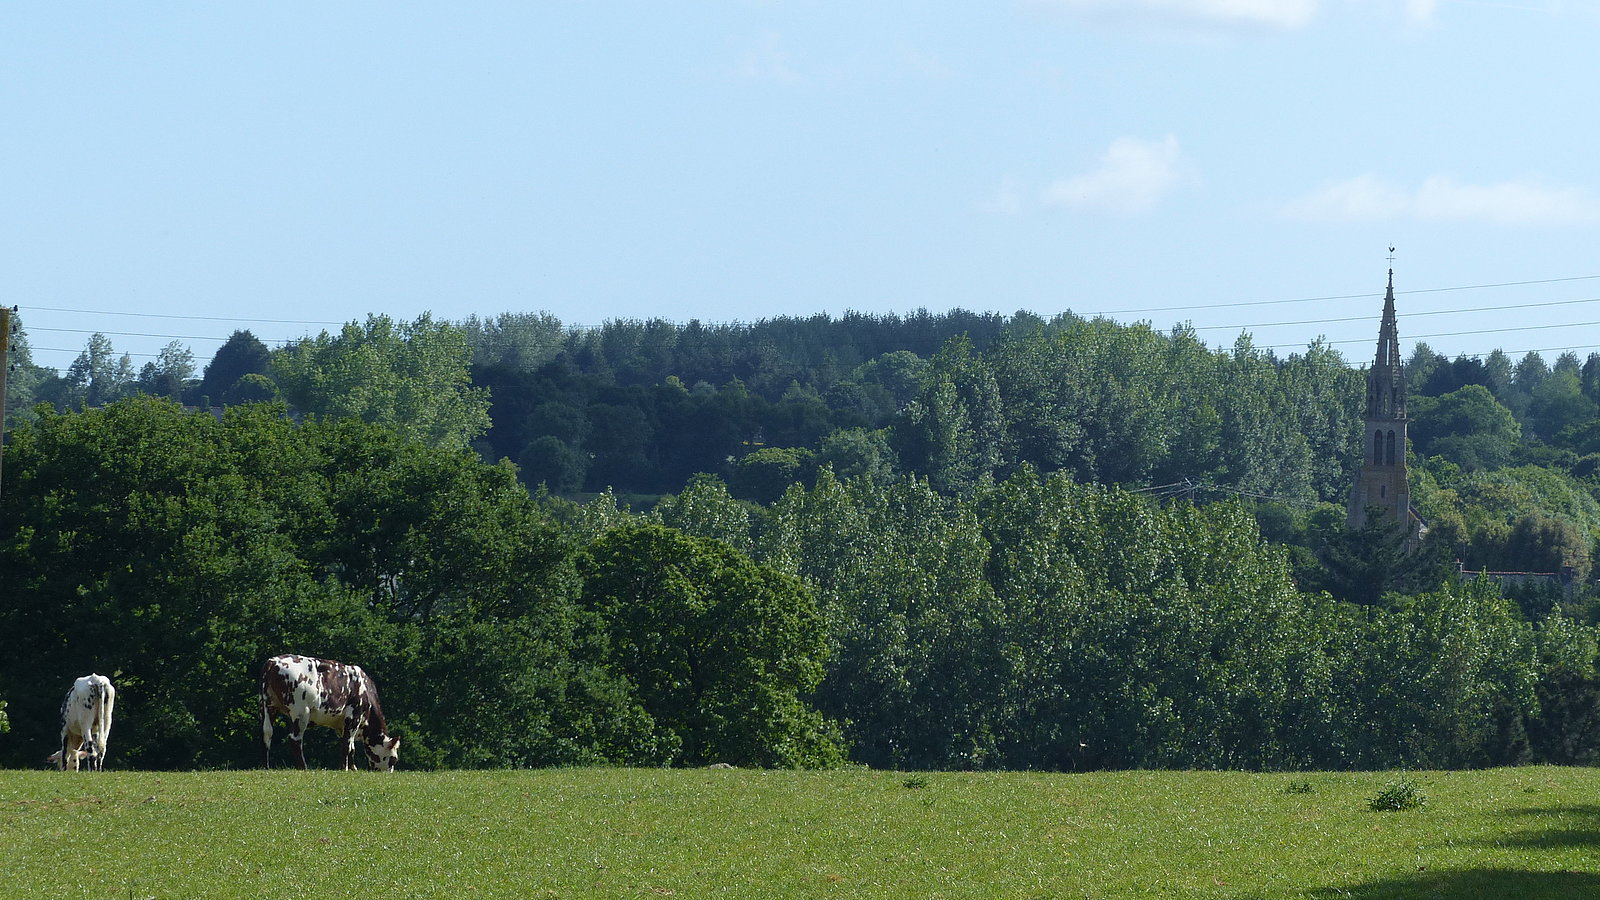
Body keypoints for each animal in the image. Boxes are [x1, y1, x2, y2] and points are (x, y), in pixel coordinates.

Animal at [259, 650, 400, 771]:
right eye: (394, 759)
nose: (389, 772)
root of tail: (273, 661)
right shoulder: (354, 716)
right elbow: (347, 744)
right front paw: (344, 768)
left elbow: (351, 747)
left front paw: (353, 768)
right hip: (301, 711)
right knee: (295, 738)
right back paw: (304, 767)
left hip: (267, 706)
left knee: (266, 732)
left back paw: (265, 766)